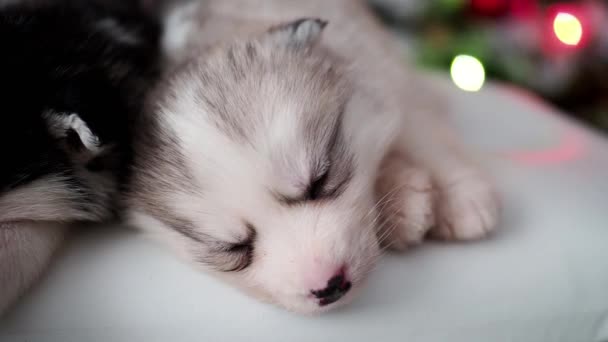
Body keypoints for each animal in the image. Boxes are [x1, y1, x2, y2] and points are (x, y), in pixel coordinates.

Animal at [127, 0, 498, 314]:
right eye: (232, 248)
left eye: (320, 180)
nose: (329, 286)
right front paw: (403, 202)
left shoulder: (378, 65)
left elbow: (419, 130)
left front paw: (460, 200)